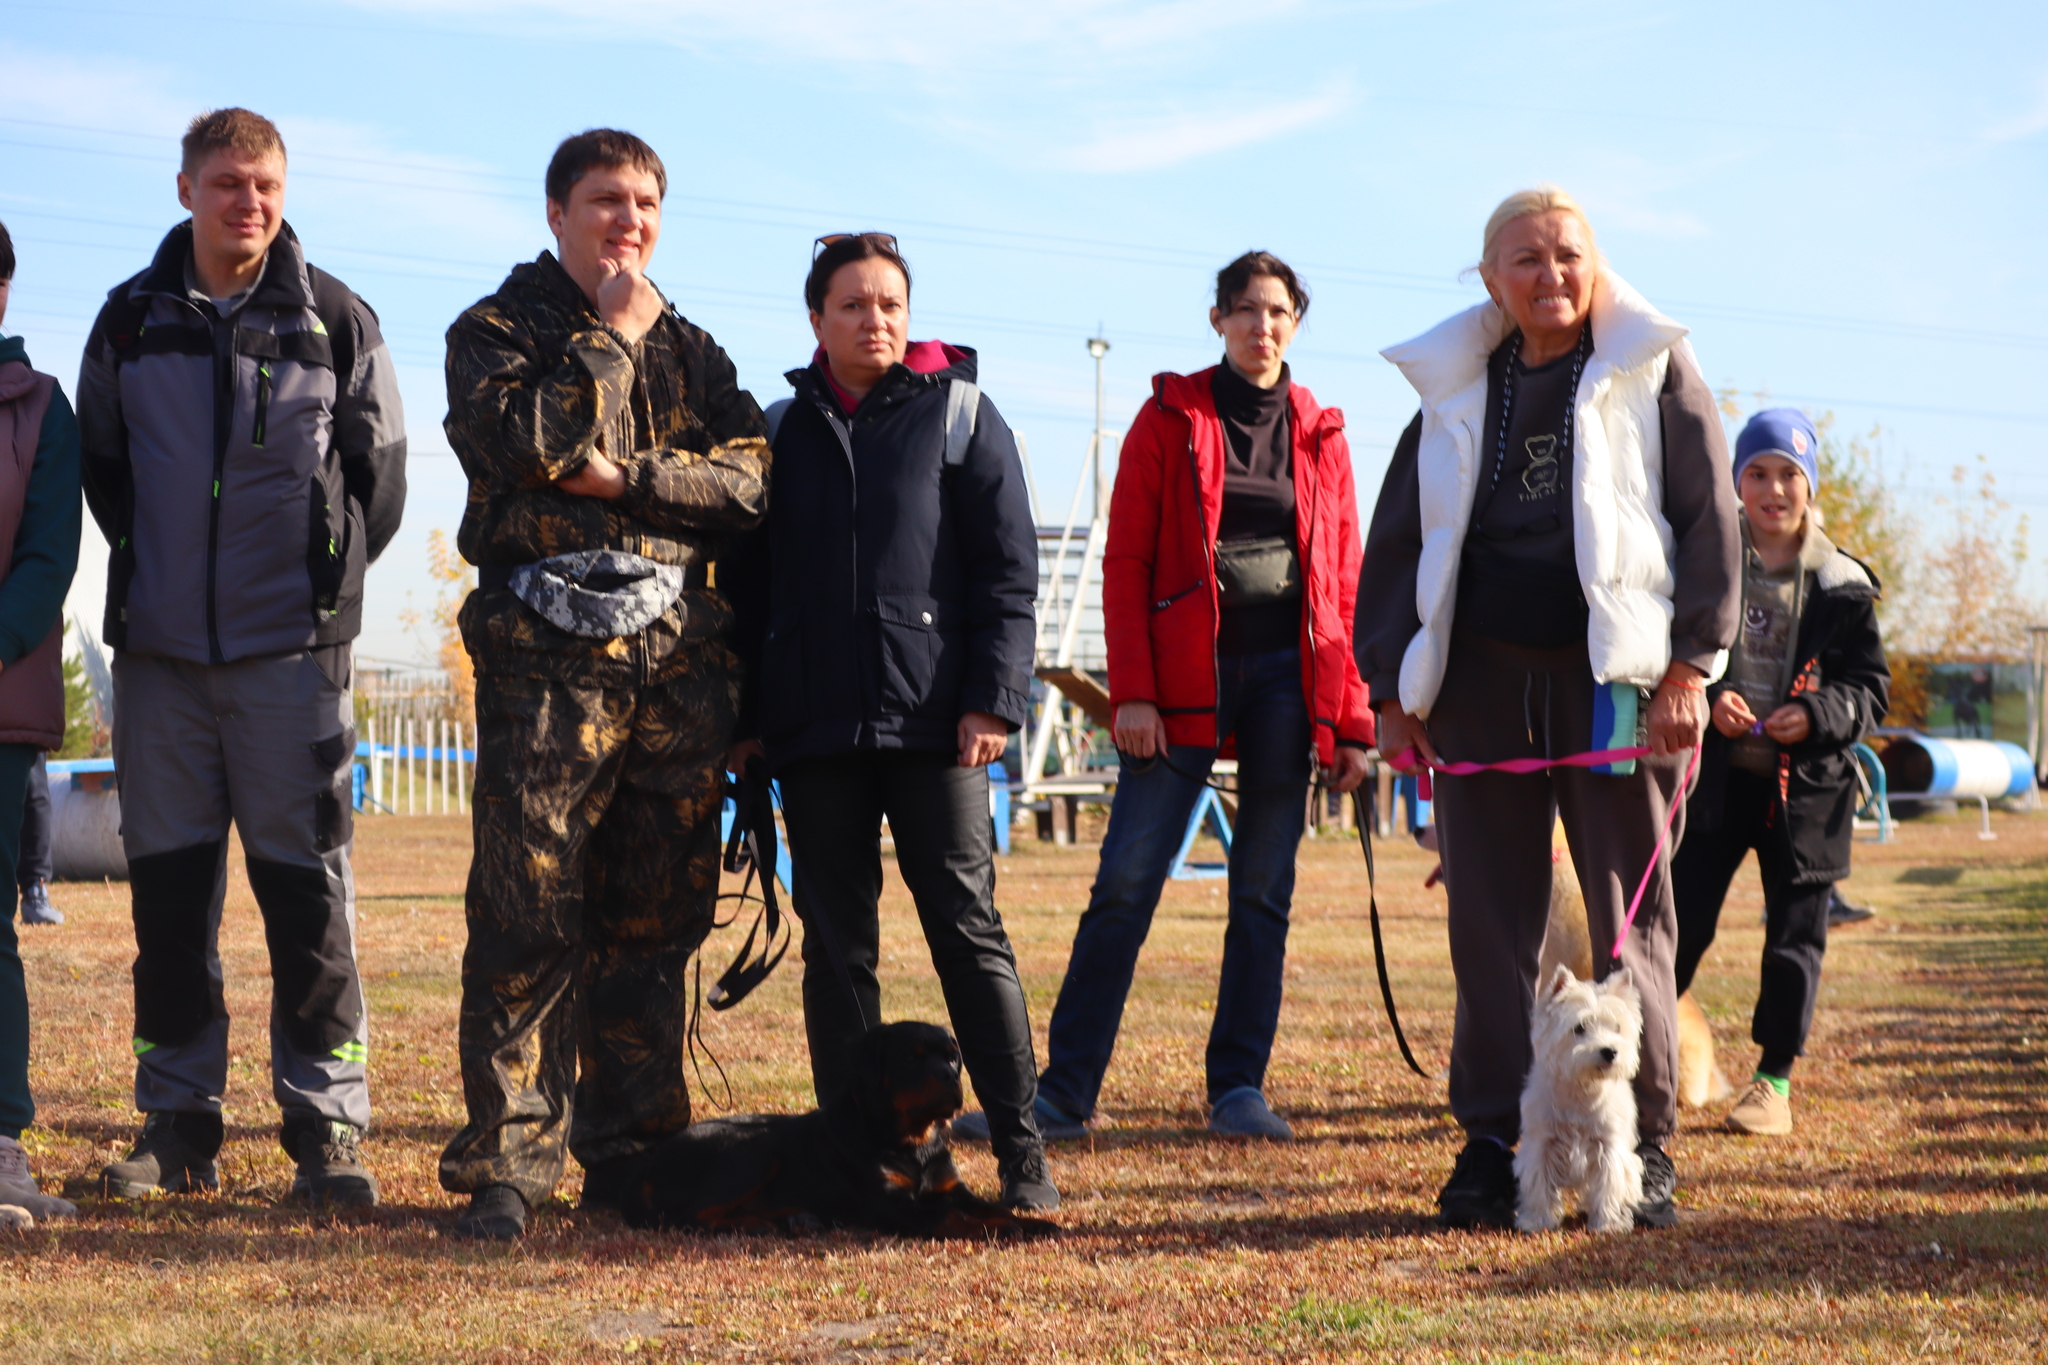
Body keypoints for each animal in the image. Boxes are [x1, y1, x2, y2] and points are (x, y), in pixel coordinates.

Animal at [1523, 961, 1646, 1236]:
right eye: (1579, 1028)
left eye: (1617, 1028)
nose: (1610, 1051)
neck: (1582, 1090)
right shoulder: (1542, 1143)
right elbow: (1538, 1183)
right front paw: (1536, 1221)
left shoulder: (1608, 1146)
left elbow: (1609, 1186)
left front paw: (1608, 1223)